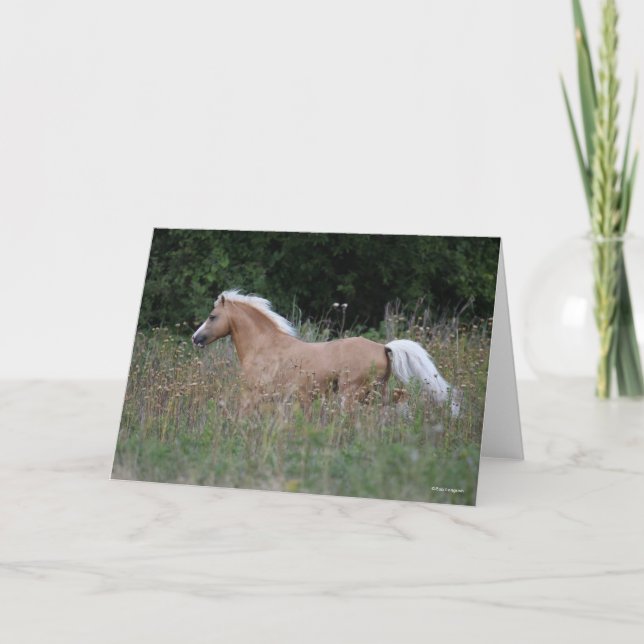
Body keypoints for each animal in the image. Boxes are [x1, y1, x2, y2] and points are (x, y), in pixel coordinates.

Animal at [192, 290, 461, 417]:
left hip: (351, 394)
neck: (264, 346)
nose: (196, 338)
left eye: (212, 316)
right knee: (396, 402)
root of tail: (383, 347)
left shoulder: (253, 393)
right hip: (376, 392)